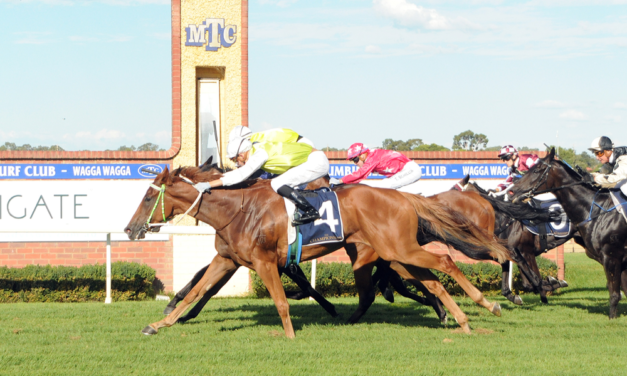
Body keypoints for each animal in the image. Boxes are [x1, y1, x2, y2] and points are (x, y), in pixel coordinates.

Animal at [125, 163, 512, 336]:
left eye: (146, 197)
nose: (129, 229)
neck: (239, 210)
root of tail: (402, 197)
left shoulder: (265, 262)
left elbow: (281, 300)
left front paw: (290, 334)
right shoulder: (227, 259)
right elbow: (196, 291)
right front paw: (160, 322)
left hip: (398, 248)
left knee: (445, 262)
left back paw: (487, 304)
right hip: (395, 251)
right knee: (429, 280)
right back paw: (459, 319)